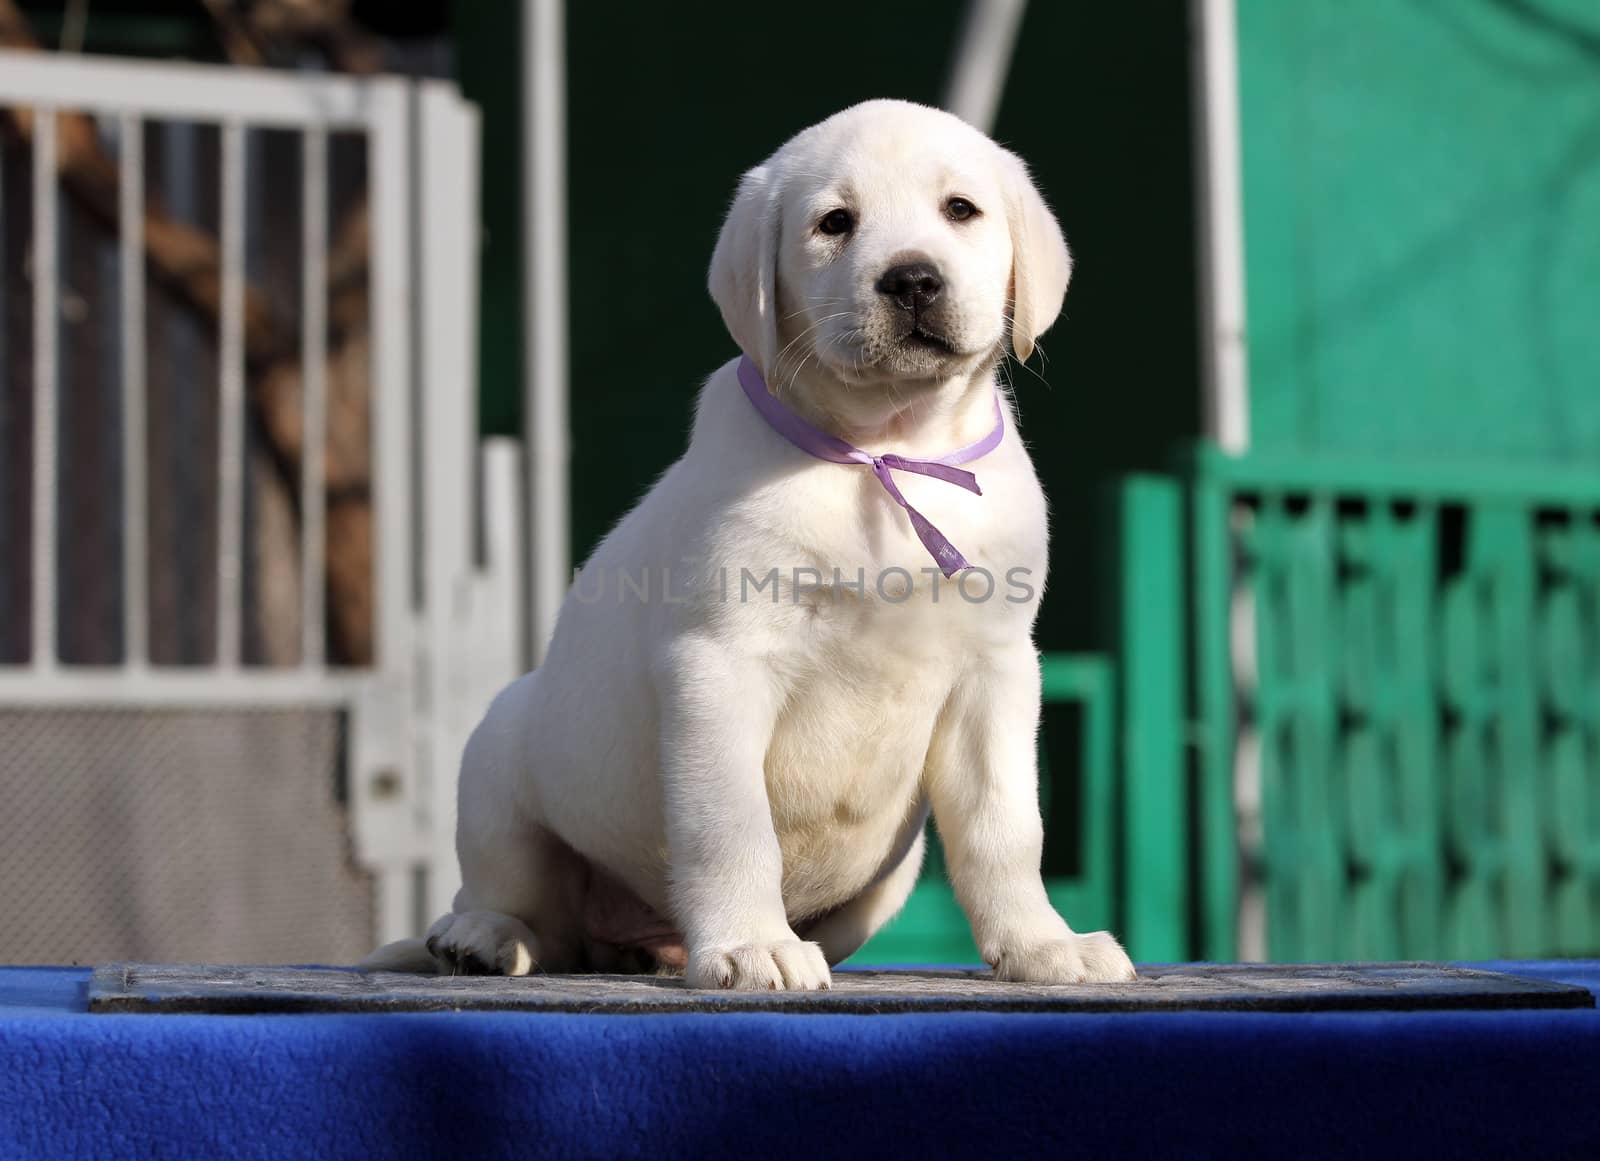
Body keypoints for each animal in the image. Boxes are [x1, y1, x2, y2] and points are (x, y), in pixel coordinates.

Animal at [366, 97, 1139, 991]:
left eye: (960, 210)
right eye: (835, 223)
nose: (912, 278)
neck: (883, 450)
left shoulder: (997, 669)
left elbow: (1004, 826)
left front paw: (1042, 942)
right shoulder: (719, 663)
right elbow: (731, 826)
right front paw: (748, 943)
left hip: (889, 874)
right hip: (501, 752)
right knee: (523, 904)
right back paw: (484, 936)